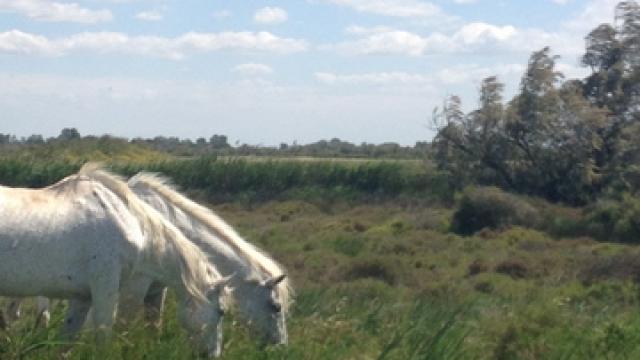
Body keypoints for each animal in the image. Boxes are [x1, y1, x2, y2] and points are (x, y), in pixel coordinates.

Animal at [0, 166, 230, 358]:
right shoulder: (106, 289)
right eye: (221, 312)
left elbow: (67, 341)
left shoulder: (82, 297)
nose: (213, 355)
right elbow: (104, 335)